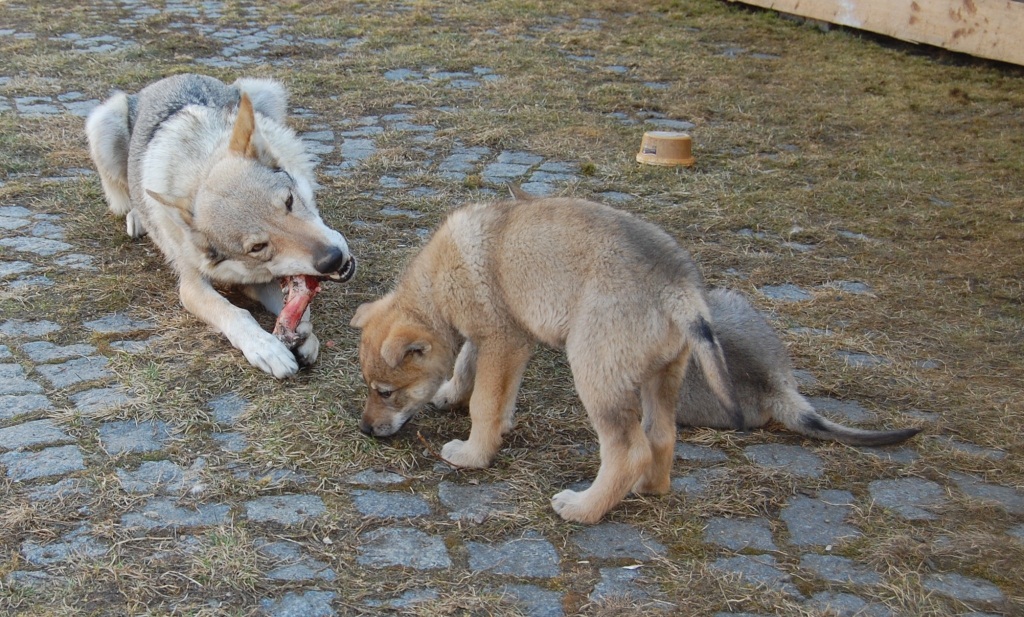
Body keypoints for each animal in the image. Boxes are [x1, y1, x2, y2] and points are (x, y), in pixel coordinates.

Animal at [84, 74, 356, 378]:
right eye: (257, 247)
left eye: (288, 201)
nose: (333, 259)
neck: (201, 165)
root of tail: (171, 78)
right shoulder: (191, 286)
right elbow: (234, 313)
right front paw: (265, 347)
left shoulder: (260, 280)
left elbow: (296, 309)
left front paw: (304, 333)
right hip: (103, 125)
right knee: (123, 192)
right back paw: (136, 217)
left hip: (264, 92)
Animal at [352, 195, 737, 523]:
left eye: (385, 392)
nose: (365, 429)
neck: (437, 282)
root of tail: (678, 287)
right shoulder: (500, 340)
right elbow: (471, 373)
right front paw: (457, 400)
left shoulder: (502, 341)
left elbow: (484, 403)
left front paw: (474, 454)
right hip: (662, 377)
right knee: (662, 436)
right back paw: (647, 488)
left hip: (595, 375)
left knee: (629, 452)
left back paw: (583, 508)